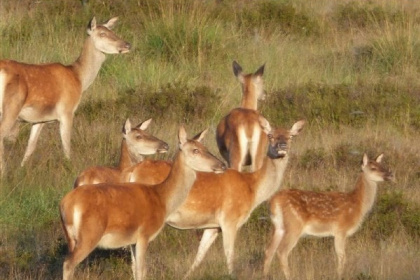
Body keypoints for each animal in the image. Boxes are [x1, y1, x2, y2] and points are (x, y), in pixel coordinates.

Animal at [0, 16, 131, 174]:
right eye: (102, 34)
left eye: (112, 31)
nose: (127, 44)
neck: (79, 79)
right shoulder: (67, 111)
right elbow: (67, 146)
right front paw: (70, 169)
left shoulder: (39, 119)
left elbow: (30, 148)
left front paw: (22, 170)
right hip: (11, 107)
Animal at [59, 126, 226, 280]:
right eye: (195, 150)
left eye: (206, 148)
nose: (222, 165)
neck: (162, 199)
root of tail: (66, 205)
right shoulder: (144, 235)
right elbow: (142, 271)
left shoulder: (132, 241)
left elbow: (135, 270)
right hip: (90, 234)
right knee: (68, 264)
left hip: (71, 237)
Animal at [264, 153, 396, 280]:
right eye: (373, 168)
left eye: (382, 165)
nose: (390, 174)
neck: (357, 205)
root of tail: (274, 200)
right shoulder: (340, 230)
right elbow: (342, 257)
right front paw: (340, 276)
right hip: (294, 225)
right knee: (282, 252)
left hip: (279, 226)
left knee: (269, 251)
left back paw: (264, 275)